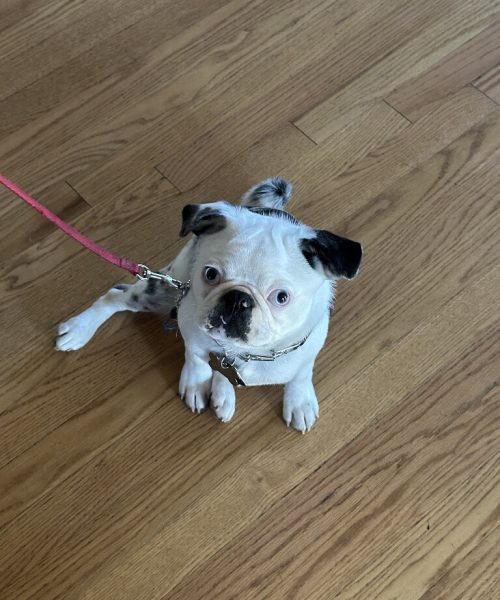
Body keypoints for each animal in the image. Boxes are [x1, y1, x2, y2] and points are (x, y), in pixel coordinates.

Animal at [55, 177, 364, 432]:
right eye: (211, 274)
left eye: (281, 297)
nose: (238, 298)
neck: (247, 353)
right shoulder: (190, 324)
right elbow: (196, 356)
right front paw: (197, 380)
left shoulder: (310, 341)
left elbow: (301, 372)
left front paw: (299, 400)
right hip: (165, 289)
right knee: (116, 295)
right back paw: (79, 329)